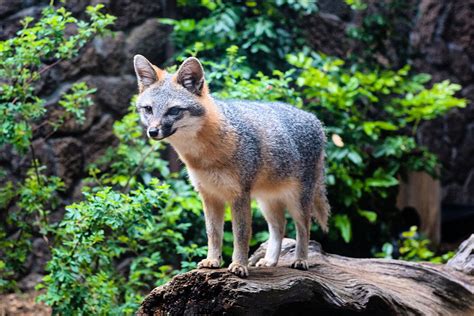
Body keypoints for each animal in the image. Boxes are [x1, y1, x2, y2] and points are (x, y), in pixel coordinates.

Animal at [133, 54, 330, 276]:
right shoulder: (209, 195)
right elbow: (213, 232)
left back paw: (301, 260)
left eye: (174, 110)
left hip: (298, 201)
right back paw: (270, 261)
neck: (205, 155)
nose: (152, 131)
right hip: (267, 201)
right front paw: (213, 260)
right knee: (279, 226)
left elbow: (241, 234)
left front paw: (239, 265)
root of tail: (315, 119)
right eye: (148, 109)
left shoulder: (239, 195)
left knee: (303, 228)